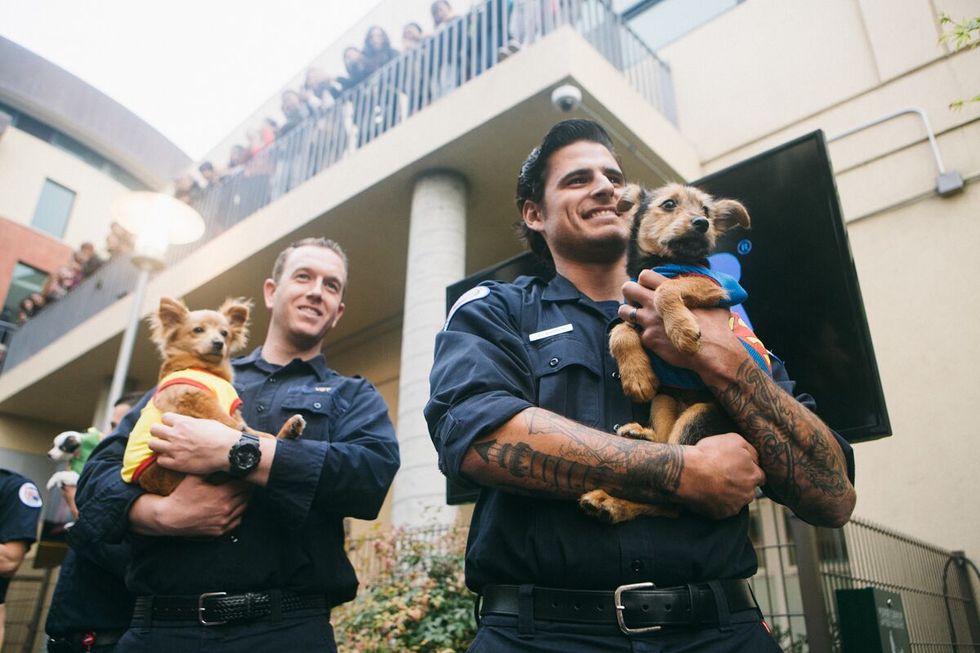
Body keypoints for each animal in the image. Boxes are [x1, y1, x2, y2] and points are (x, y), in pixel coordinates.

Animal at [123, 296, 306, 494]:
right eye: (198, 330)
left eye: (224, 333)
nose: (219, 342)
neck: (206, 368)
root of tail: (150, 484)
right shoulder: (190, 396)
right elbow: (223, 418)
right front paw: (244, 431)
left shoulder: (234, 411)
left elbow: (248, 427)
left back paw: (290, 429)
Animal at [580, 183, 756, 524]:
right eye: (669, 204)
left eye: (706, 211)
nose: (702, 223)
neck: (659, 262)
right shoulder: (633, 309)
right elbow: (619, 333)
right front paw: (637, 378)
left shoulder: (713, 286)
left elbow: (665, 289)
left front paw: (682, 330)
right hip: (664, 402)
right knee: (664, 465)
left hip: (699, 417)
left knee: (676, 491)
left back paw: (611, 502)